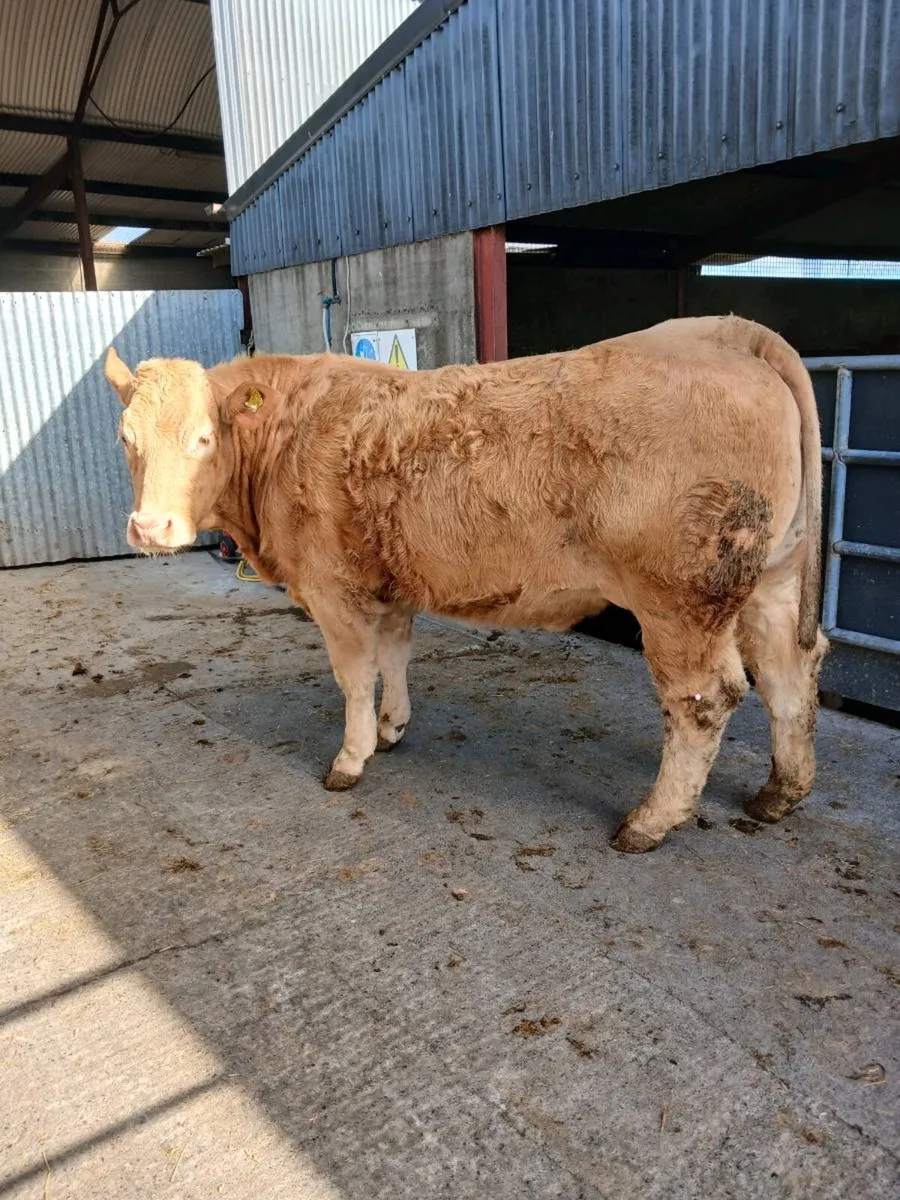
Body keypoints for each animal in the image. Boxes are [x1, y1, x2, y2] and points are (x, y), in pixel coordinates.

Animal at [104, 315, 827, 853]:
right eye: (125, 439)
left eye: (203, 438)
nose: (150, 527)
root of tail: (723, 331)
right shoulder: (391, 583)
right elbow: (394, 656)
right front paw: (392, 729)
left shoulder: (335, 590)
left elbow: (353, 676)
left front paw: (350, 759)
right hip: (770, 577)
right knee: (789, 672)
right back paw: (779, 795)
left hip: (681, 602)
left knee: (705, 699)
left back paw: (649, 822)